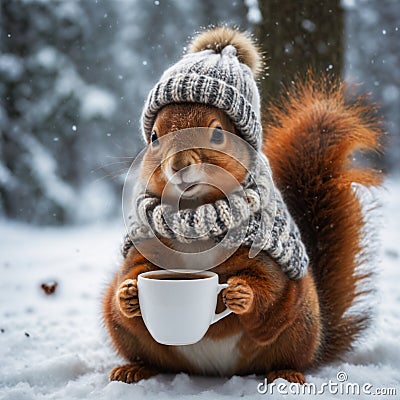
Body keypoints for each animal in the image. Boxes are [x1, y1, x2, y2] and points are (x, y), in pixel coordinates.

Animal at [102, 27, 382, 384]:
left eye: (218, 133)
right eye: (153, 137)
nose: (178, 164)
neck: (196, 216)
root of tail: (216, 372)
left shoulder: (262, 252)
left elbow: (270, 286)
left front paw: (243, 294)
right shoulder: (147, 245)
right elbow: (132, 272)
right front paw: (128, 295)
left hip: (301, 321)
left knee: (289, 350)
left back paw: (285, 373)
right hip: (128, 336)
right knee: (149, 353)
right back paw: (134, 368)